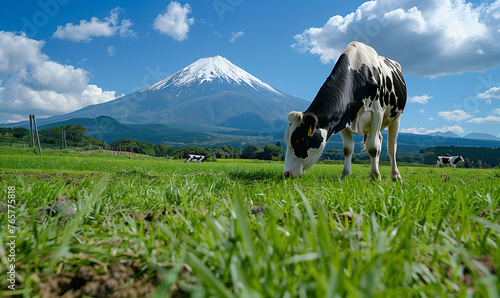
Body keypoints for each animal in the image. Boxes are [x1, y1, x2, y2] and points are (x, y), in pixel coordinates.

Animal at [284, 41, 408, 182]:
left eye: (298, 139)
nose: (287, 173)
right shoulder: (342, 118)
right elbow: (348, 149)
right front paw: (346, 175)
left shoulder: (377, 113)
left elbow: (372, 147)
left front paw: (374, 177)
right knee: (380, 142)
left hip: (396, 117)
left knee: (391, 147)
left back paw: (395, 176)